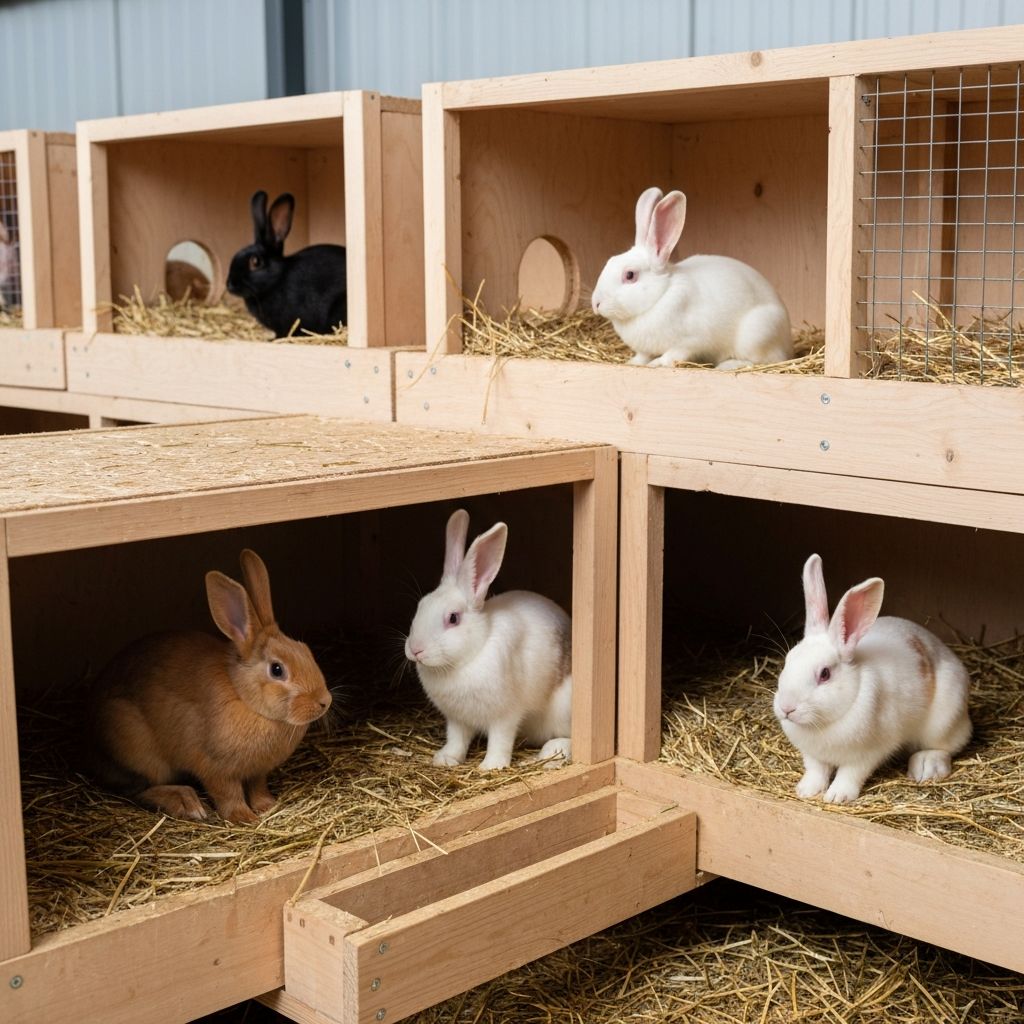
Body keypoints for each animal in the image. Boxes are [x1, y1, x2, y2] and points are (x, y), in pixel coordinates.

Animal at [89, 549, 332, 824]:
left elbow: (257, 787)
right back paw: (187, 803)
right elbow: (228, 794)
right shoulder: (215, 768)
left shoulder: (257, 772)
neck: (244, 698)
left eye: (306, 650)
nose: (324, 702)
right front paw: (244, 817)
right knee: (140, 790)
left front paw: (268, 806)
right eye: (277, 670)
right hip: (136, 747)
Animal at [405, 509, 572, 771]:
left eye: (453, 618)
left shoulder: (505, 715)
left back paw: (552, 752)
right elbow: (456, 740)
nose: (415, 650)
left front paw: (491, 766)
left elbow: (500, 740)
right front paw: (445, 759)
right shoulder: (457, 719)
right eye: (421, 605)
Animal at [591, 187, 793, 369]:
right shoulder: (645, 349)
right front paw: (633, 362)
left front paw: (657, 363)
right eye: (609, 261)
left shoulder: (690, 342)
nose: (596, 304)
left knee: (765, 360)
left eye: (630, 275)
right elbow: (642, 356)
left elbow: (673, 355)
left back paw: (730, 364)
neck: (661, 295)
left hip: (758, 334)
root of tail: (787, 339)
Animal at [773, 553, 972, 805]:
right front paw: (807, 790)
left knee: (948, 747)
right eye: (788, 660)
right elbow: (816, 771)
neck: (825, 722)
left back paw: (926, 767)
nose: (786, 708)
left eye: (825, 674)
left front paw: (838, 796)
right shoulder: (813, 755)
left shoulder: (868, 753)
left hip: (944, 720)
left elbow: (850, 774)